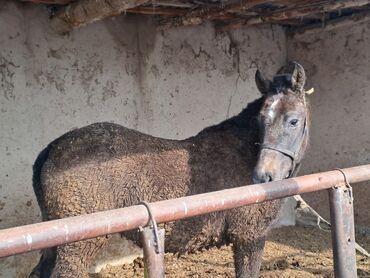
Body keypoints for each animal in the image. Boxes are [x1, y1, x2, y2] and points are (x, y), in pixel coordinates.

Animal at [30, 61, 310, 278]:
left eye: (293, 121)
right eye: (260, 120)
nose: (264, 176)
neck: (243, 153)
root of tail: (54, 148)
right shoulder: (250, 237)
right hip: (78, 246)